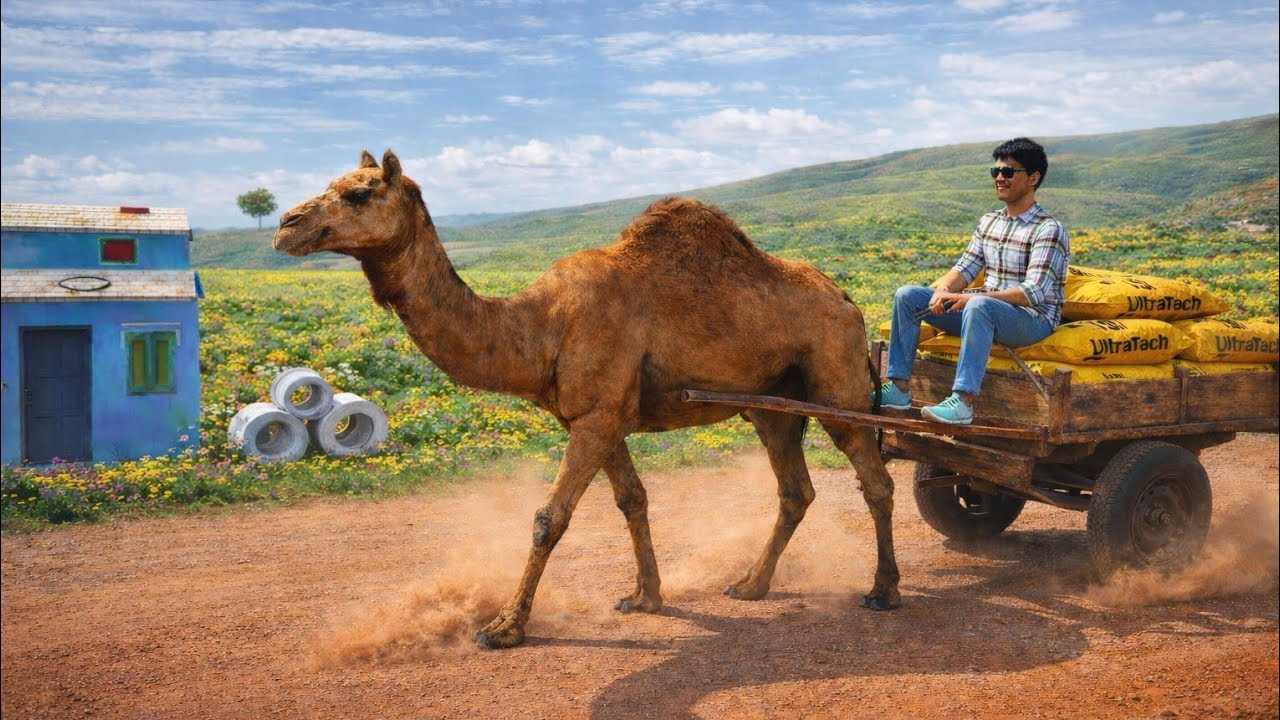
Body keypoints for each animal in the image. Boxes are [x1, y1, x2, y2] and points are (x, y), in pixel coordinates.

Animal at [274, 150, 901, 649]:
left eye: (358, 193)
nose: (285, 225)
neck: (543, 326)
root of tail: (847, 299)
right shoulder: (599, 416)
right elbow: (633, 500)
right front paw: (644, 597)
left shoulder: (596, 419)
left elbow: (548, 518)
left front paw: (504, 627)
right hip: (771, 404)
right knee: (796, 488)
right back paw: (750, 585)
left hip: (836, 381)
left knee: (875, 479)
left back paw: (882, 590)